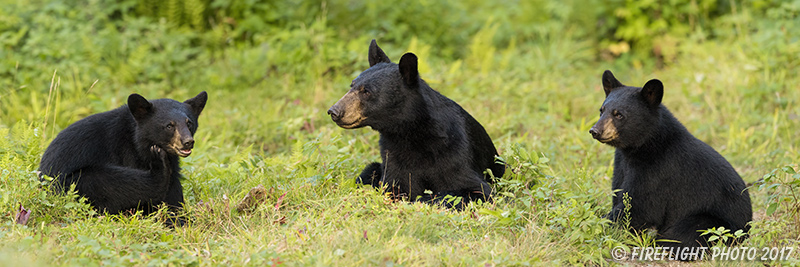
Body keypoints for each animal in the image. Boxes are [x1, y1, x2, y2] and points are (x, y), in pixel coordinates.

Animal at [39, 92, 206, 226]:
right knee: (114, 181)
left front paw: (180, 218)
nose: (187, 142)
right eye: (169, 126)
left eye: (189, 123)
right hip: (72, 184)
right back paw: (159, 167)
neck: (139, 141)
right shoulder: (126, 151)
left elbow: (174, 191)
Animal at [326, 39, 504, 209]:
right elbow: (395, 185)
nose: (334, 111)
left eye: (367, 91)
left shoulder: (455, 153)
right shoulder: (393, 155)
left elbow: (474, 189)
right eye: (352, 85)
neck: (410, 133)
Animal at [592, 70, 752, 250]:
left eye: (619, 114)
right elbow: (620, 193)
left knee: (685, 233)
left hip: (715, 223)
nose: (595, 130)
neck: (642, 146)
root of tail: (747, 228)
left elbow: (640, 207)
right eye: (601, 110)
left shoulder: (657, 170)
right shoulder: (621, 164)